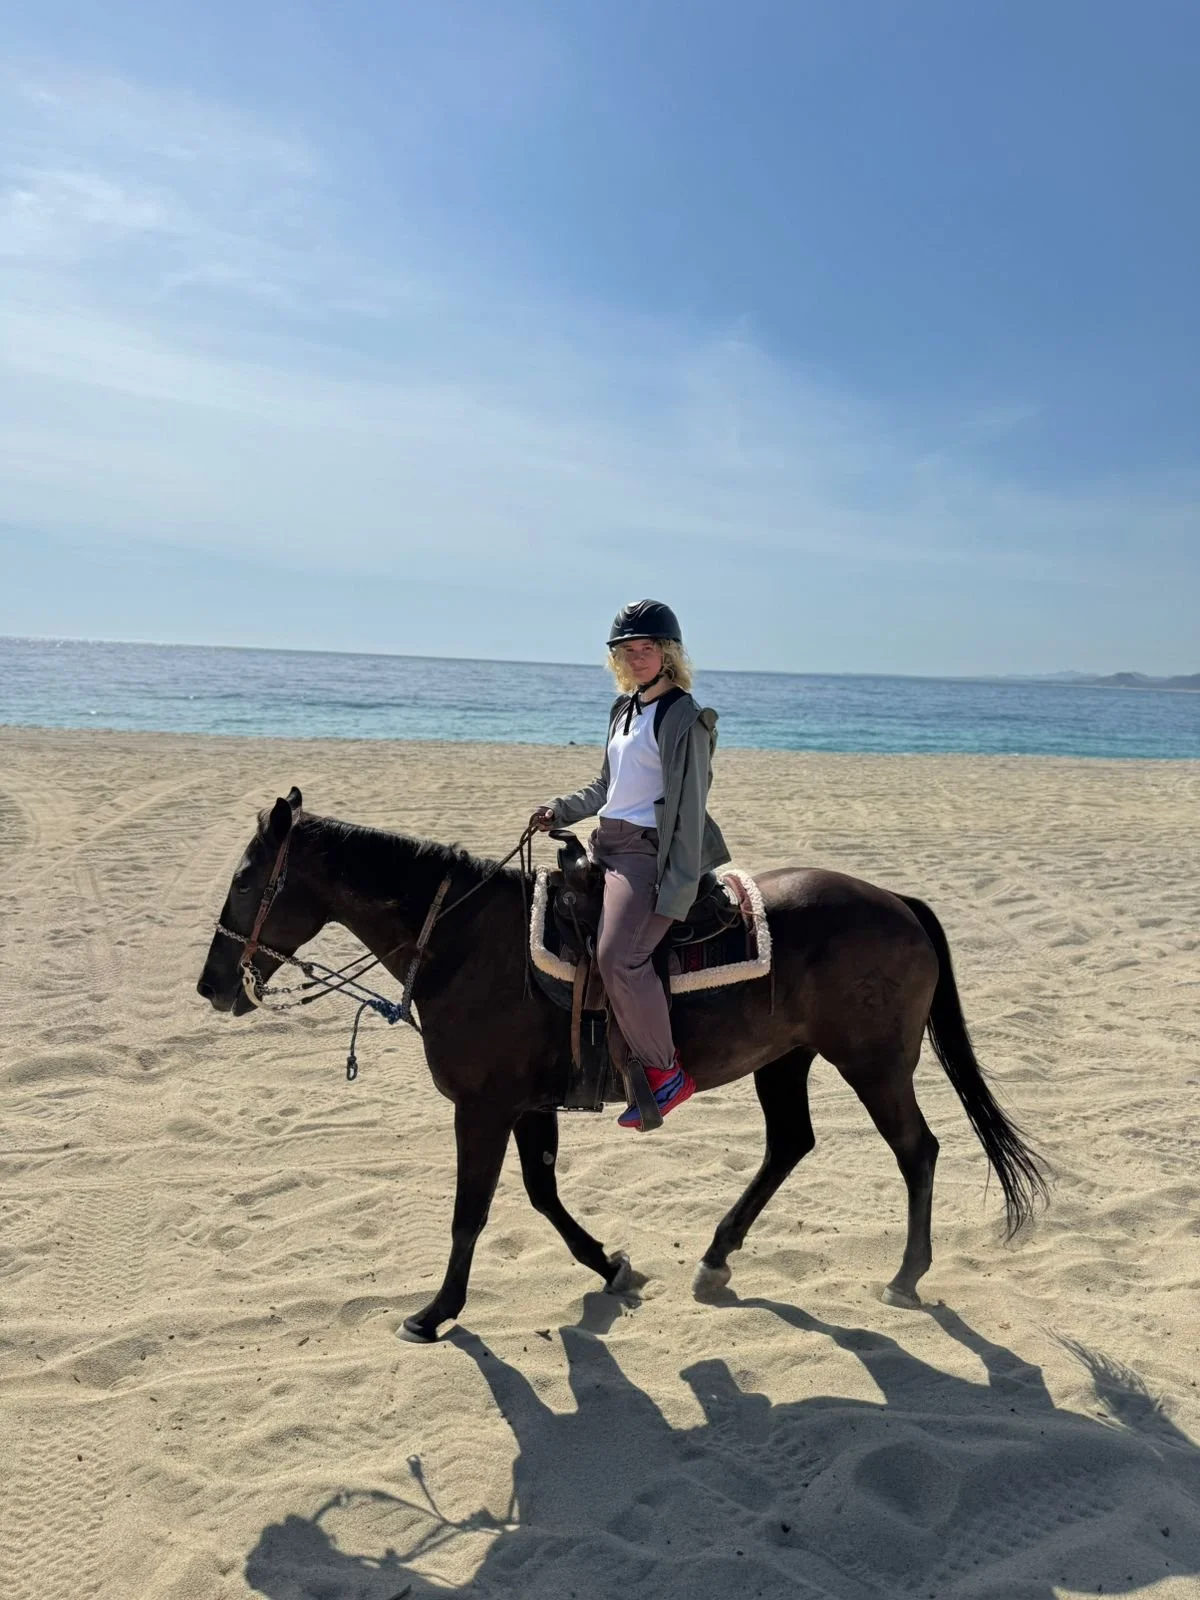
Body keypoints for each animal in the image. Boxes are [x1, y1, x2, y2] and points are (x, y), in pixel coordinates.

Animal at [196, 788, 1047, 1343]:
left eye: (243, 879)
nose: (211, 985)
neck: (470, 943)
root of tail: (898, 902)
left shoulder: (482, 1108)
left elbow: (472, 1211)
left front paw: (435, 1313)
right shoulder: (527, 1105)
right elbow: (542, 1194)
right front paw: (609, 1266)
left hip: (872, 1062)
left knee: (916, 1150)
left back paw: (905, 1275)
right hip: (786, 1058)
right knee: (790, 1145)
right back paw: (716, 1258)